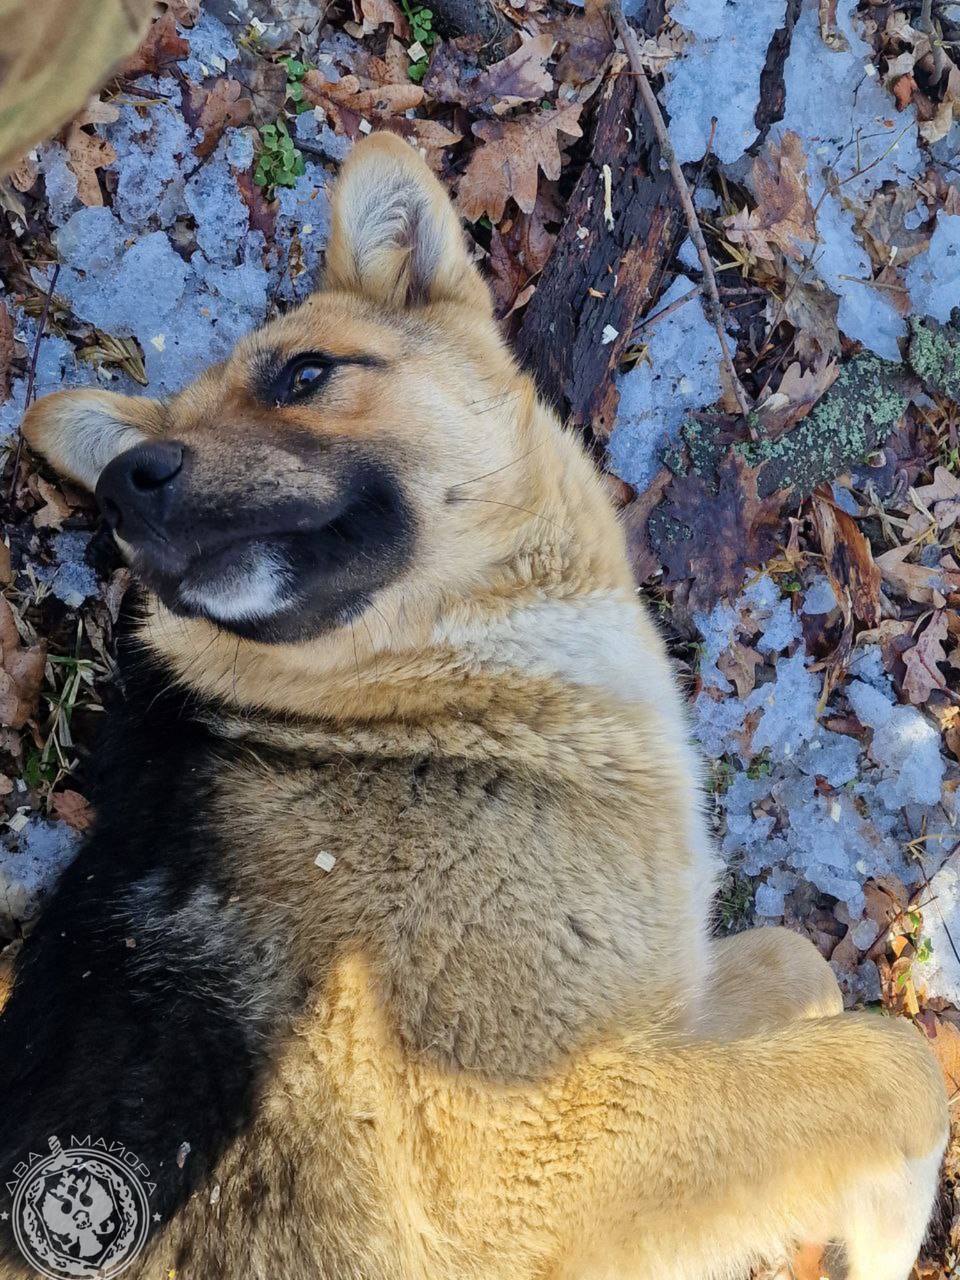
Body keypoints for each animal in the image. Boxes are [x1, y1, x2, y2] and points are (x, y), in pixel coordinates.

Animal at [1, 132, 947, 1280]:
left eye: (306, 374)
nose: (127, 486)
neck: (390, 704)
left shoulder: (647, 1013)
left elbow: (797, 960)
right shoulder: (532, 1152)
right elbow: (897, 1065)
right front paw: (887, 1228)